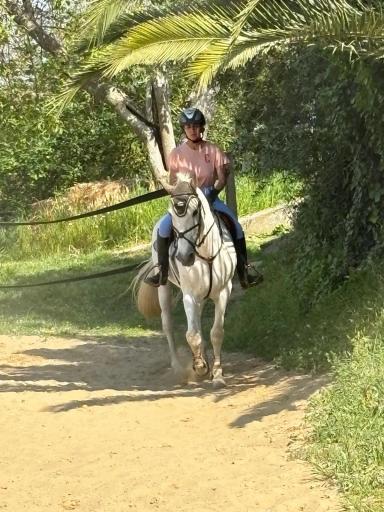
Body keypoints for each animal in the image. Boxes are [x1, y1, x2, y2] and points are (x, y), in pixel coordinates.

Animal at [135, 174, 237, 386]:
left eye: (195, 211)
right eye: (172, 214)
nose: (183, 256)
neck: (206, 255)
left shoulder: (223, 292)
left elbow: (216, 332)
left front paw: (217, 374)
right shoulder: (189, 295)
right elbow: (192, 334)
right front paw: (199, 366)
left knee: (198, 322)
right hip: (164, 288)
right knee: (168, 324)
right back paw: (178, 367)